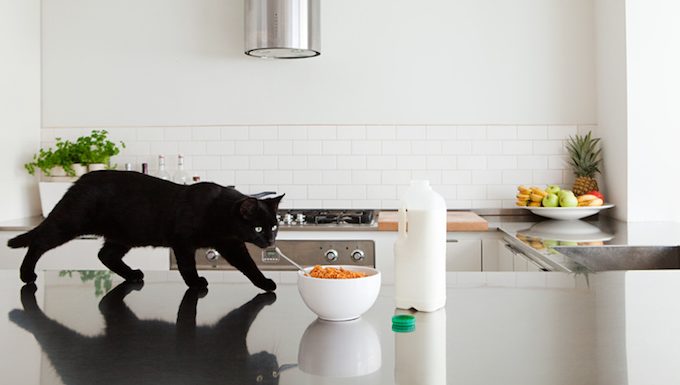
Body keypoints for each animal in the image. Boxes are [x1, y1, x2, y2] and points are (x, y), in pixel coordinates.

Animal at [5, 170, 282, 290]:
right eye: (259, 227)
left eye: (275, 226)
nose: (269, 241)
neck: (218, 211)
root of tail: (80, 179)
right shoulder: (183, 242)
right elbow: (187, 266)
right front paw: (195, 283)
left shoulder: (231, 244)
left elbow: (249, 265)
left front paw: (264, 283)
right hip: (70, 223)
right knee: (39, 242)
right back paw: (26, 274)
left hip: (124, 236)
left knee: (105, 255)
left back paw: (132, 275)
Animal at [9, 280, 294, 382]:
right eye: (260, 378)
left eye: (274, 375)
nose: (272, 362)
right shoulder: (227, 331)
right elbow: (247, 313)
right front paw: (266, 292)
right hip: (79, 355)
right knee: (51, 336)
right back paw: (17, 315)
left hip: (123, 326)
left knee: (106, 306)